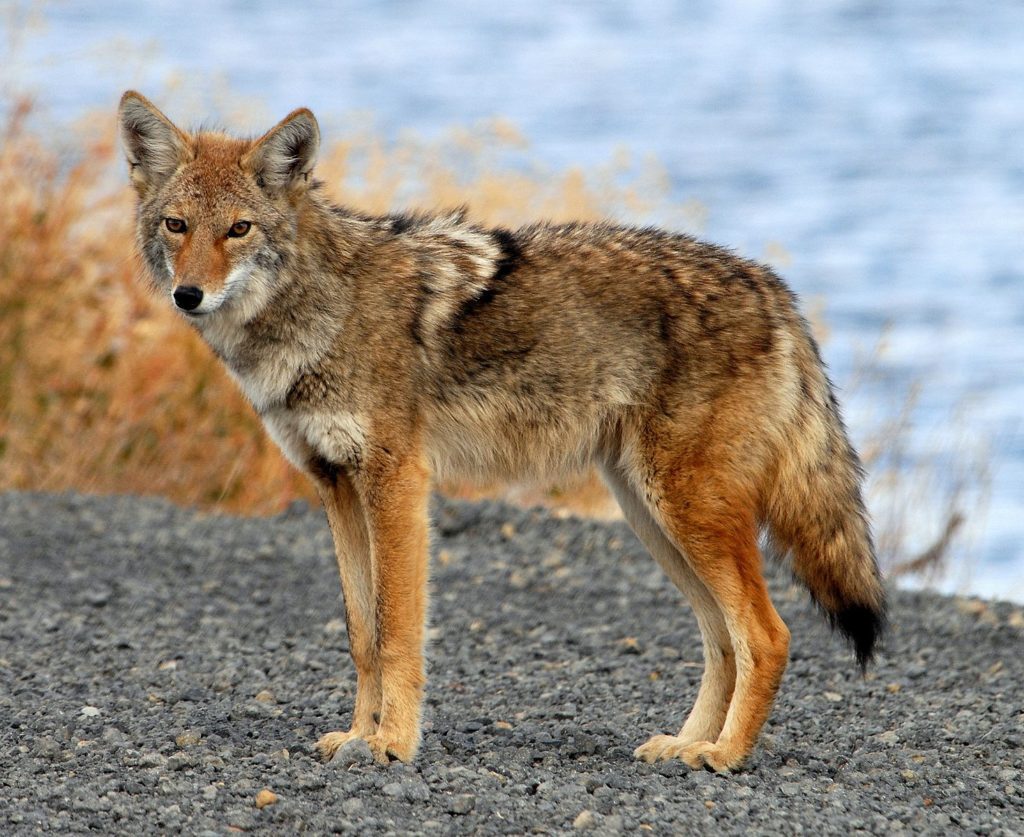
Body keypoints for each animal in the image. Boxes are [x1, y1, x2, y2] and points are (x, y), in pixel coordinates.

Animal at [117, 90, 885, 773]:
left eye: (238, 229)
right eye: (177, 225)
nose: (188, 295)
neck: (320, 310)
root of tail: (774, 287)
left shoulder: (397, 482)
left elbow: (397, 632)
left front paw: (392, 743)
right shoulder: (335, 486)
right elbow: (362, 635)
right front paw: (358, 734)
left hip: (687, 512)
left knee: (767, 634)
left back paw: (725, 755)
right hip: (655, 519)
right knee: (723, 640)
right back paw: (686, 744)